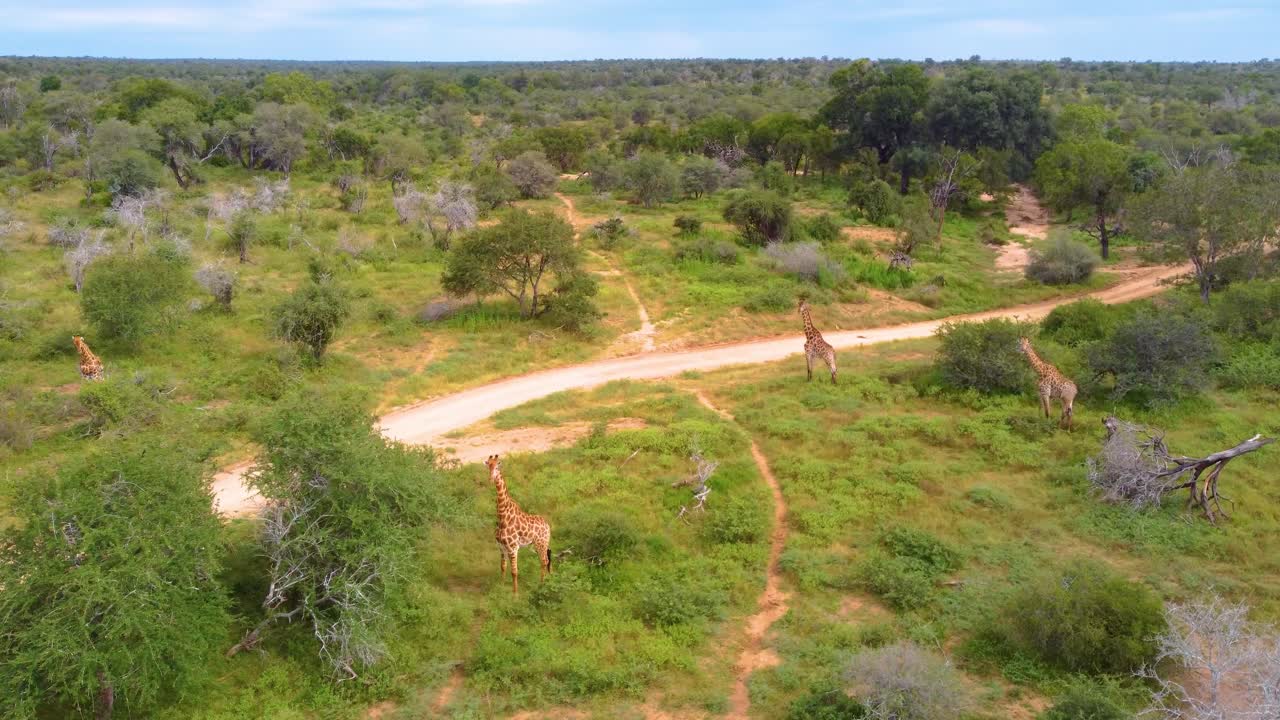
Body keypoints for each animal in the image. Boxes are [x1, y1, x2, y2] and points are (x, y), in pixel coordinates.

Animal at [484, 454, 551, 594]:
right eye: (488, 465)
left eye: (498, 465)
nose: (491, 479)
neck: (502, 517)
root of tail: (548, 525)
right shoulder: (501, 547)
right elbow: (503, 567)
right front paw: (502, 587)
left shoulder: (513, 548)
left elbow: (514, 572)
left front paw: (515, 594)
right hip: (536, 545)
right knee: (545, 560)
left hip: (541, 543)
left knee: (544, 561)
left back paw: (542, 585)